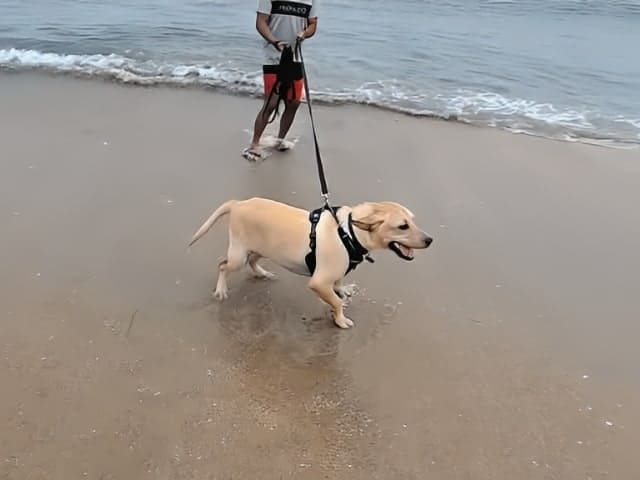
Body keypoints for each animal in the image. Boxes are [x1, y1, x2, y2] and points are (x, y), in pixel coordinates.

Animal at [188, 197, 432, 328]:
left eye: (413, 221)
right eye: (402, 226)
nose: (430, 240)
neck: (349, 232)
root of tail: (239, 203)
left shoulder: (336, 275)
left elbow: (338, 288)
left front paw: (343, 292)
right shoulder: (318, 283)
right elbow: (335, 302)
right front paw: (341, 319)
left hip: (263, 249)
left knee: (253, 262)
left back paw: (262, 273)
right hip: (239, 255)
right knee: (222, 265)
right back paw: (221, 290)